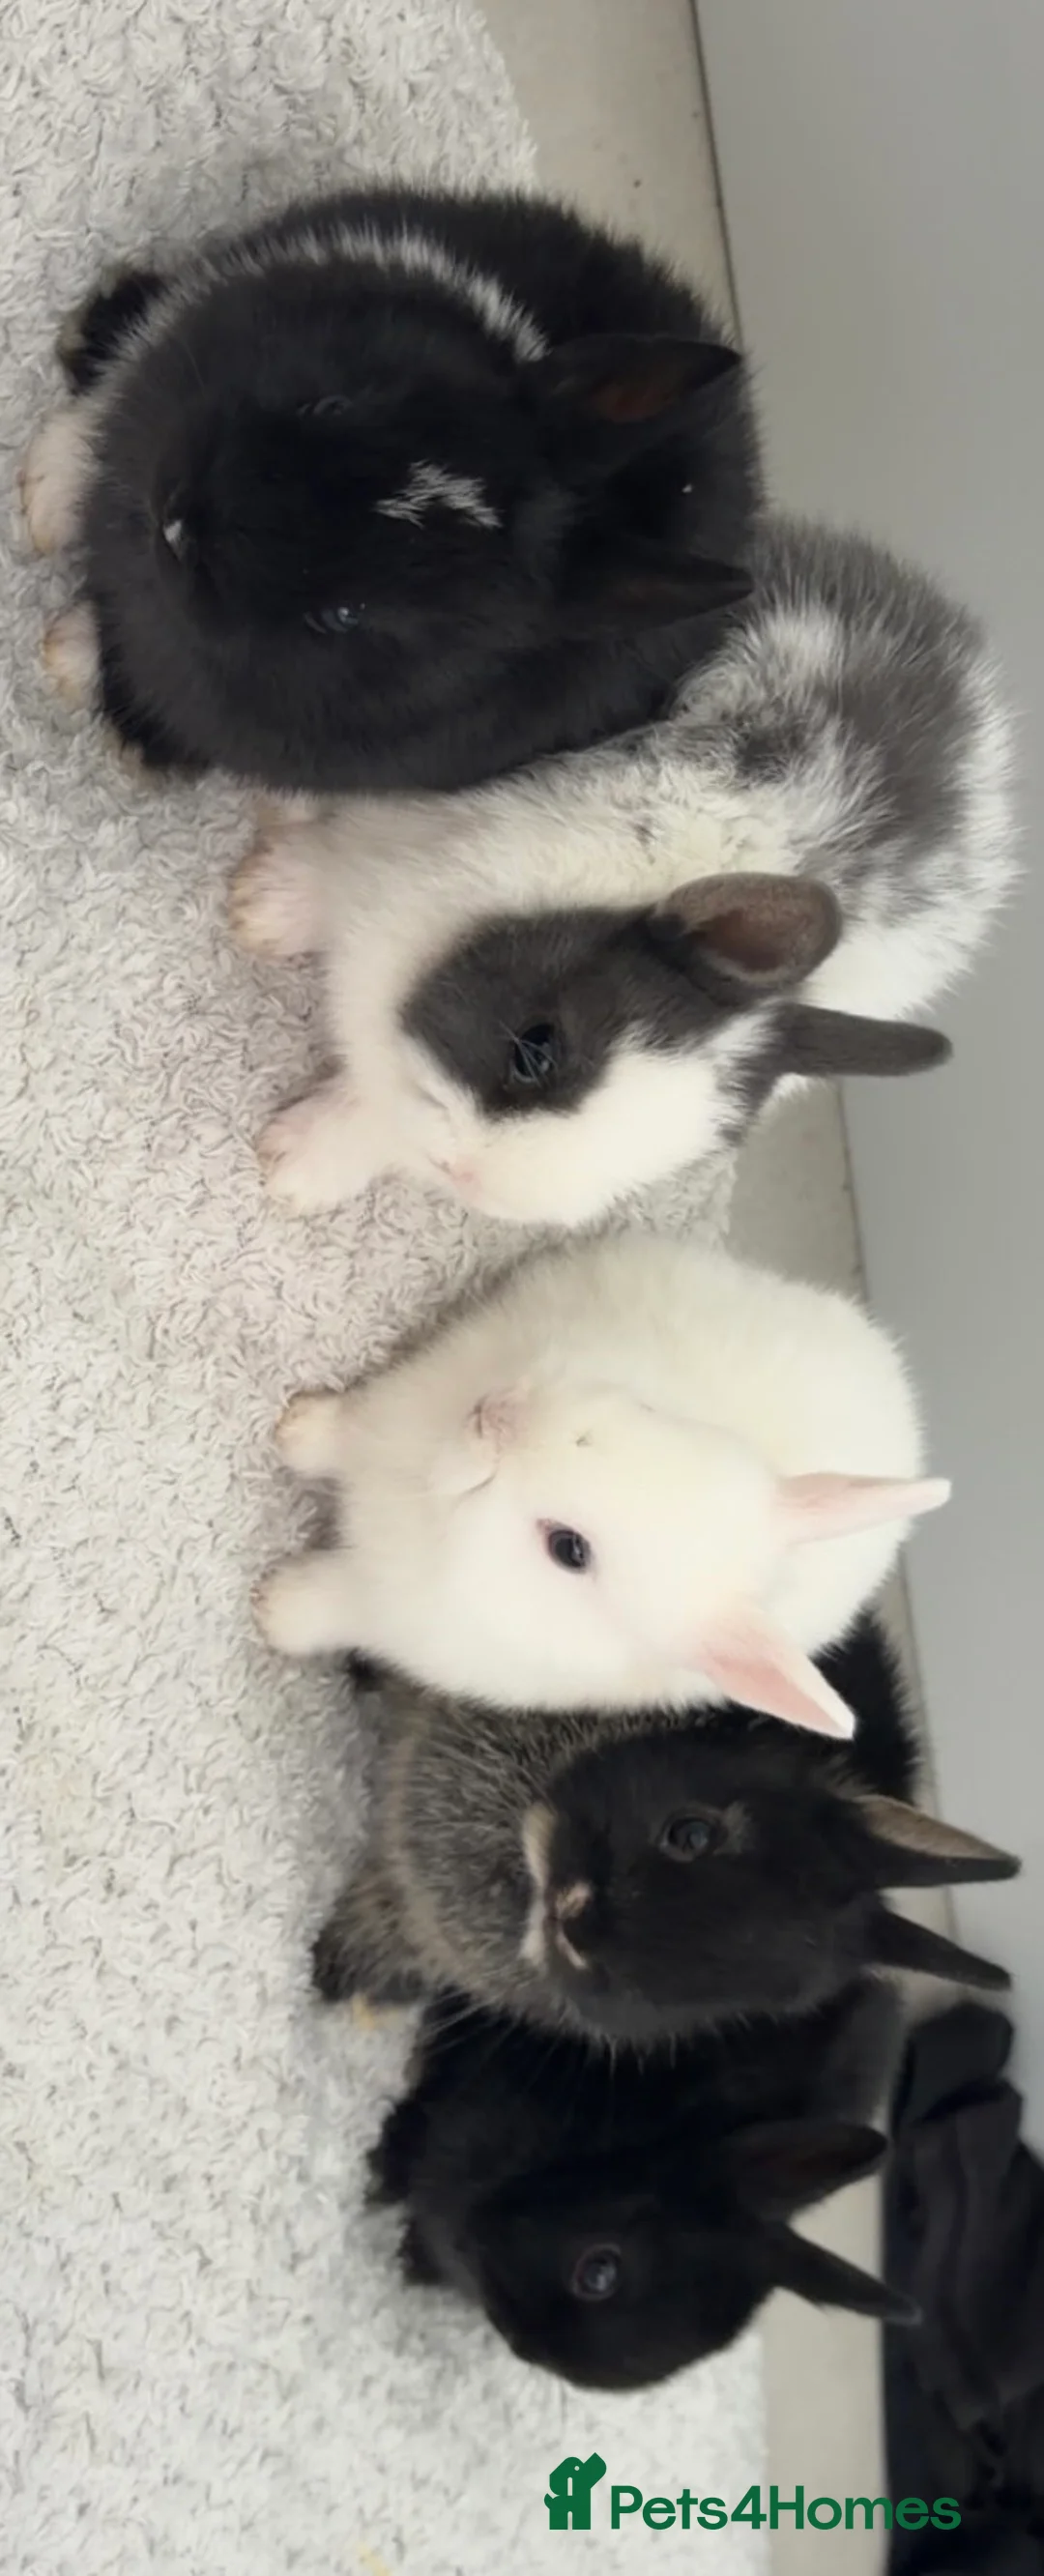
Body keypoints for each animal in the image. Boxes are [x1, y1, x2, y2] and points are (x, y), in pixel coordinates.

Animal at [22, 185, 760, 792]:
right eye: (332, 406)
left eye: (347, 615)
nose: (179, 523)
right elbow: (119, 386)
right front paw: (44, 497)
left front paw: (70, 661)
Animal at [226, 513, 1013, 1230]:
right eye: (537, 1048)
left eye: (678, 1156)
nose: (465, 1172)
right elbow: (337, 856)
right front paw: (264, 908)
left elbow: (379, 1111)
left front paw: (298, 1170)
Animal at [255, 1228, 949, 1728]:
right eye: (651, 1412)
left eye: (569, 1549)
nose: (498, 1418)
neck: (433, 1490)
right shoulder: (405, 1399)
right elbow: (347, 1427)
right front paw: (297, 1429)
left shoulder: (396, 1614)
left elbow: (331, 1604)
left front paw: (272, 1611)